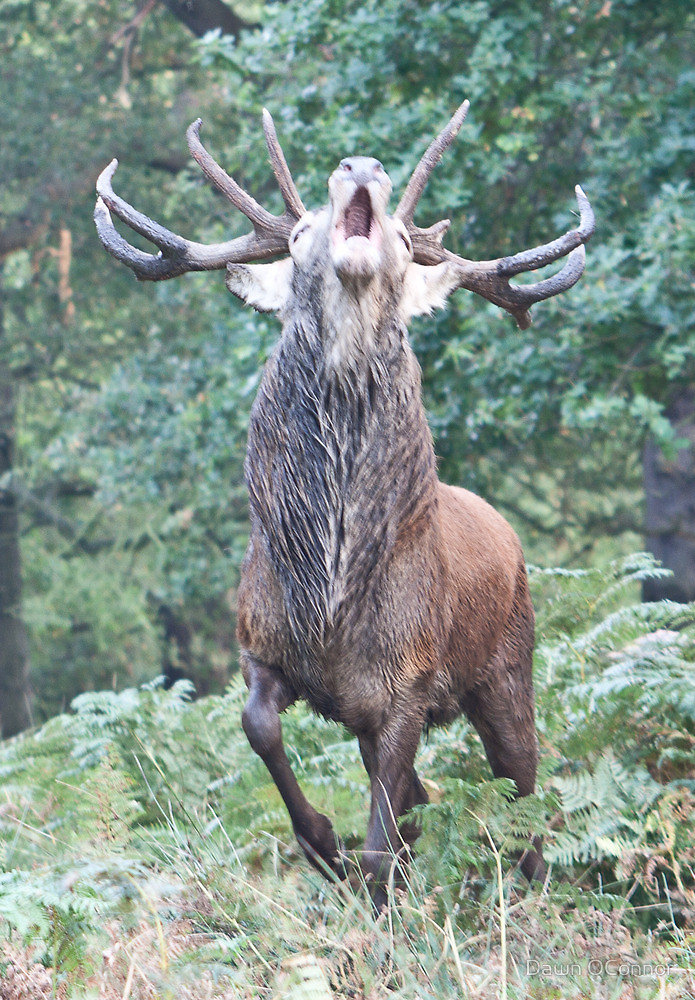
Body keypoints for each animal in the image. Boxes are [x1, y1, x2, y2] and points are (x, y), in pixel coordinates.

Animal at [95, 99, 594, 909]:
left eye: (404, 242)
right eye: (298, 234)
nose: (361, 165)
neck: (329, 596)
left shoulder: (410, 681)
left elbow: (383, 842)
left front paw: (372, 894)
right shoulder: (260, 643)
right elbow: (260, 727)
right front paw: (320, 843)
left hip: (507, 664)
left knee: (524, 786)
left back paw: (533, 893)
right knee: (430, 795)